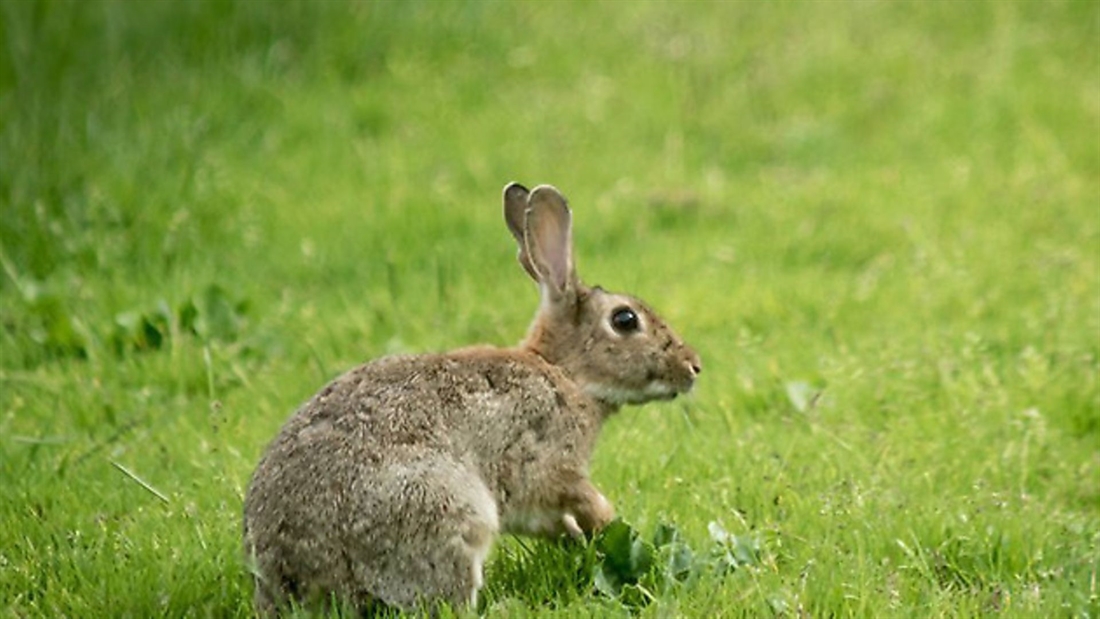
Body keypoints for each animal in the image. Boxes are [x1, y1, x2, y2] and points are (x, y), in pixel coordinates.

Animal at [244, 180, 699, 615]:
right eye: (625, 320)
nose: (693, 366)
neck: (564, 373)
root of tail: (292, 576)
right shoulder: (547, 462)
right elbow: (578, 494)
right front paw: (609, 522)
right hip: (451, 513)